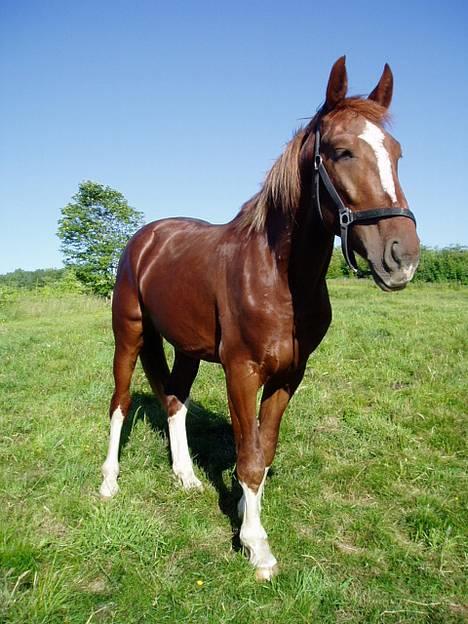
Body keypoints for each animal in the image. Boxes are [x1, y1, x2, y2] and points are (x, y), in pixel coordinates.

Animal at [98, 57, 420, 580]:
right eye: (341, 151)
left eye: (396, 152)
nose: (401, 258)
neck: (279, 276)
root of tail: (144, 240)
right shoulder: (242, 372)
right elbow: (247, 456)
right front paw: (257, 547)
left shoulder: (290, 375)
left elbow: (262, 453)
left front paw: (246, 520)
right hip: (128, 335)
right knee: (121, 403)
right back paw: (108, 482)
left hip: (187, 348)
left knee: (174, 401)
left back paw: (186, 477)